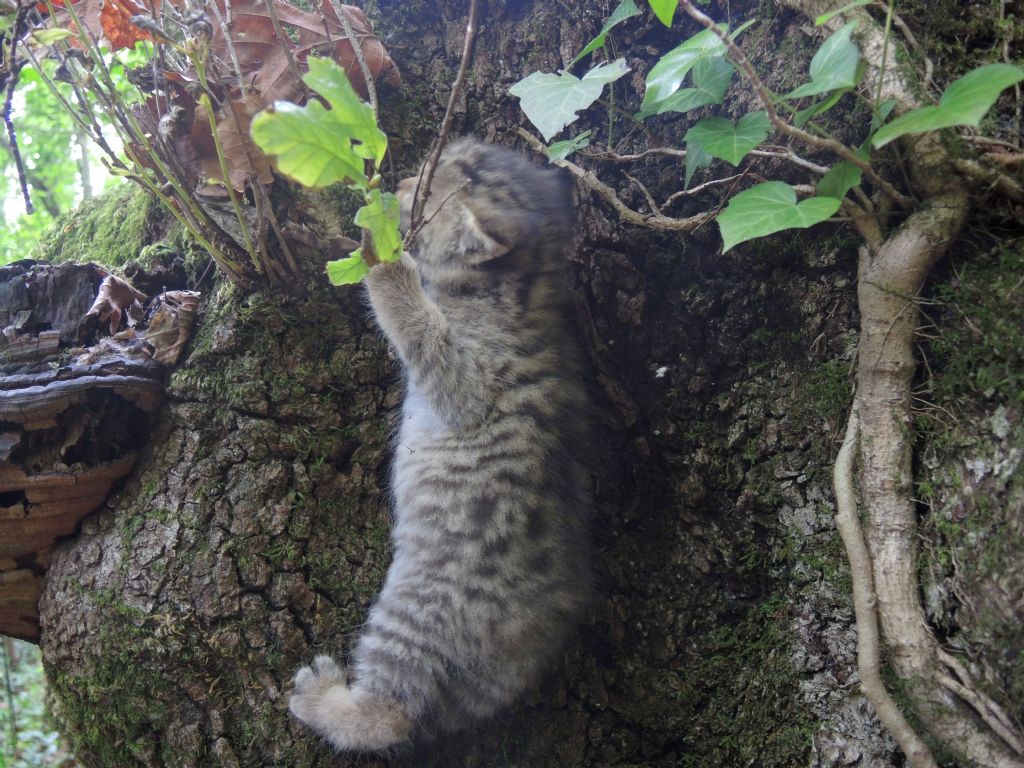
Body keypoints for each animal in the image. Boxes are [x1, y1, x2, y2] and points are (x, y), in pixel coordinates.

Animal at [288, 137, 593, 753]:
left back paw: (324, 700)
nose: (401, 183)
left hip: (412, 611)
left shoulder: (470, 379)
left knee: (391, 714)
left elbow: (417, 324)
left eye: (425, 196)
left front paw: (381, 258)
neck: (526, 287)